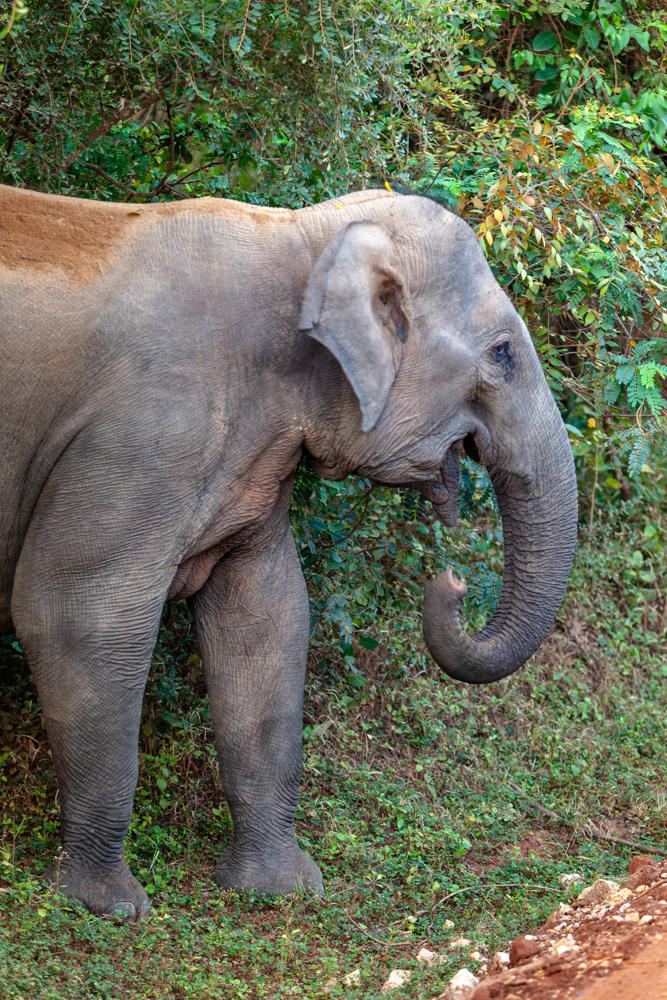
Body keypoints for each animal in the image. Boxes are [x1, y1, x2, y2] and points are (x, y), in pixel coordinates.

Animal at [0, 183, 577, 919]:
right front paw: (108, 906)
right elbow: (74, 613)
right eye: (502, 354)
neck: (300, 235)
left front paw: (280, 889)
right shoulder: (143, 431)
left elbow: (265, 617)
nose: (446, 581)